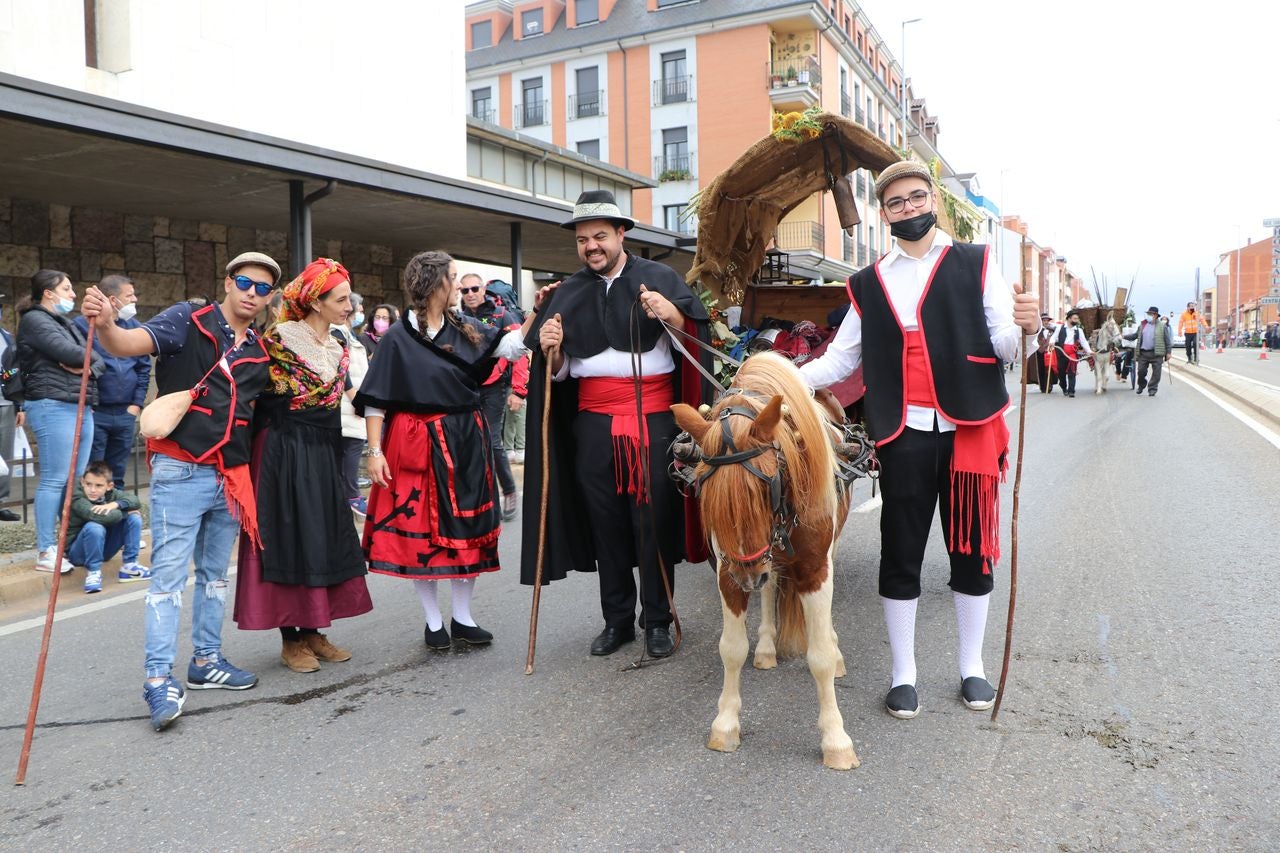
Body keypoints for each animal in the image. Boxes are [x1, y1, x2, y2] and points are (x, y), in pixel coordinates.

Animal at [670, 348, 860, 768]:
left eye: (766, 485)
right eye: (706, 489)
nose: (746, 578)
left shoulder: (815, 569)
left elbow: (820, 657)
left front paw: (836, 739)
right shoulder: (728, 572)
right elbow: (731, 649)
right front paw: (725, 724)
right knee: (770, 588)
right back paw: (768, 644)